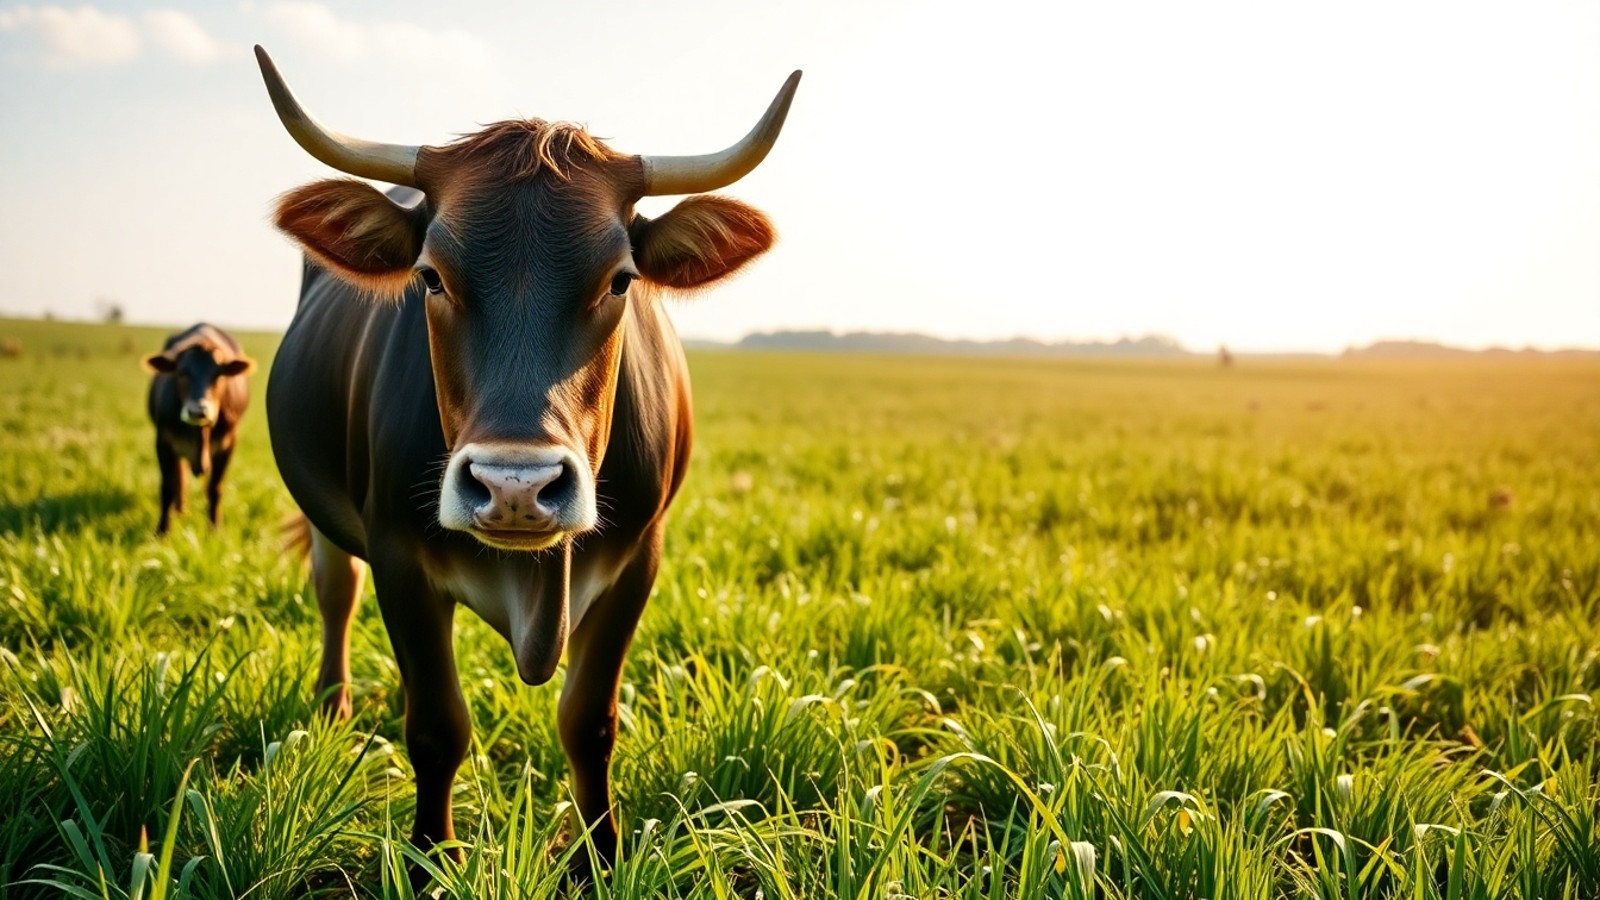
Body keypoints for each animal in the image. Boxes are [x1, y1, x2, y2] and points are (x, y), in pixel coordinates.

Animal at [143, 323, 256, 535]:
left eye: (219, 374)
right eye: (181, 372)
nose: (198, 410)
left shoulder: (228, 445)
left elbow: (215, 488)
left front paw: (215, 529)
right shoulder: (163, 443)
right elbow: (168, 487)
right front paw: (162, 531)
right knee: (180, 479)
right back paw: (180, 510)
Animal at [251, 45, 799, 869]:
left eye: (620, 279)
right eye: (430, 276)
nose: (515, 485)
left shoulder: (641, 558)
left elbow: (589, 722)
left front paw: (601, 855)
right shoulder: (398, 557)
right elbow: (436, 726)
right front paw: (433, 858)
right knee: (334, 591)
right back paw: (331, 707)